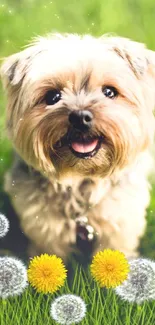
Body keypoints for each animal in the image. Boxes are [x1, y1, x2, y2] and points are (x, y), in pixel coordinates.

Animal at [0, 33, 154, 260]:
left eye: (109, 92)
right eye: (53, 96)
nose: (80, 117)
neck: (81, 178)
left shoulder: (120, 220)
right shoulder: (45, 226)